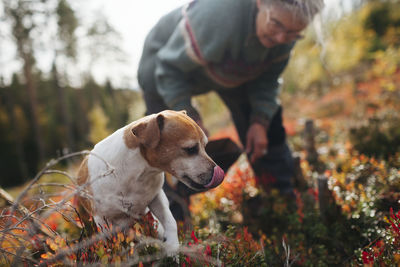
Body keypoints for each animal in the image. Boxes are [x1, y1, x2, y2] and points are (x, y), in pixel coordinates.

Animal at [76, 110, 225, 253]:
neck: (136, 174)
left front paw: (172, 247)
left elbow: (170, 222)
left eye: (205, 146)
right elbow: (112, 245)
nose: (218, 172)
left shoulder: (156, 198)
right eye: (191, 149)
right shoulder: (102, 220)